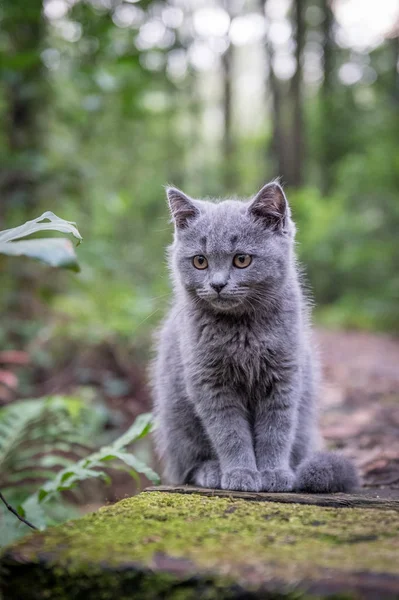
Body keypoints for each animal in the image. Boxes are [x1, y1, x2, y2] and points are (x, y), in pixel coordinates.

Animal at [152, 183, 360, 492]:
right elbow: (229, 432)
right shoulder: (211, 383)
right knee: (186, 467)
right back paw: (211, 471)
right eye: (200, 261)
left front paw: (274, 473)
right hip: (176, 418)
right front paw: (240, 473)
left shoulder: (283, 376)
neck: (243, 332)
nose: (217, 284)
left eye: (242, 259)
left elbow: (276, 430)